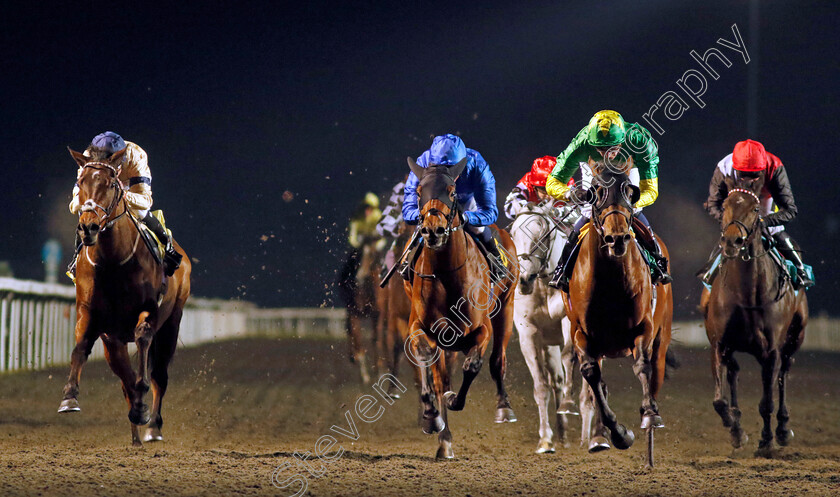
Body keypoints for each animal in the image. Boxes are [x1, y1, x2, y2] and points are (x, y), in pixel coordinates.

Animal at [58, 147, 191, 446]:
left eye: (110, 184)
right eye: (80, 181)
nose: (88, 228)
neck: (112, 262)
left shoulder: (150, 310)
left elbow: (142, 340)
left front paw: (143, 407)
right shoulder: (91, 313)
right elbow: (80, 347)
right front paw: (69, 397)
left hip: (172, 323)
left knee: (159, 375)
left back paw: (152, 426)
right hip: (113, 342)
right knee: (125, 380)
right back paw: (136, 431)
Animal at [402, 157, 516, 460]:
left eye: (452, 192)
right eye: (419, 192)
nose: (432, 230)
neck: (446, 274)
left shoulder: (481, 328)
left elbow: (473, 365)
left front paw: (454, 400)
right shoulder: (419, 326)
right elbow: (427, 361)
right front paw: (432, 416)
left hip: (507, 307)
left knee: (497, 359)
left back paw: (504, 407)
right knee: (441, 376)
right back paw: (444, 439)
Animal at [508, 202, 580, 454]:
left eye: (542, 236)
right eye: (514, 234)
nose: (524, 278)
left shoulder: (569, 321)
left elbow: (570, 357)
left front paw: (569, 404)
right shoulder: (528, 334)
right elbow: (541, 385)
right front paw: (546, 440)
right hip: (548, 346)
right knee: (556, 380)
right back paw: (562, 434)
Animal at [564, 165, 676, 466]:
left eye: (630, 190)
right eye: (596, 192)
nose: (616, 238)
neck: (611, 280)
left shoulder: (643, 328)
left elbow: (643, 367)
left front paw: (649, 414)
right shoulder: (582, 334)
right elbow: (592, 376)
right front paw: (616, 433)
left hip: (661, 338)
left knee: (655, 372)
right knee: (597, 384)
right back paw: (599, 437)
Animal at [704, 175, 808, 458]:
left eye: (754, 208)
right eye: (725, 205)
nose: (732, 241)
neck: (746, 295)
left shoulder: (770, 351)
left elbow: (767, 402)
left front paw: (767, 441)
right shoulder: (720, 344)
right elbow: (719, 400)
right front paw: (736, 429)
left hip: (794, 339)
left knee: (784, 374)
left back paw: (782, 429)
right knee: (734, 373)